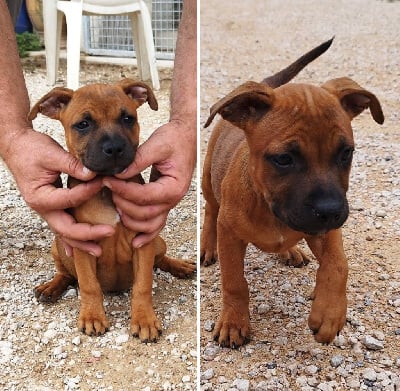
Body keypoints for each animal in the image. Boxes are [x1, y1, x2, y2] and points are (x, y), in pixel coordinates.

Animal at [28, 79, 195, 344]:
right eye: (83, 124)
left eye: (127, 118)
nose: (115, 148)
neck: (106, 188)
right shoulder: (82, 245)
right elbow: (88, 285)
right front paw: (92, 317)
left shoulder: (143, 241)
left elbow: (143, 284)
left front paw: (144, 320)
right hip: (58, 245)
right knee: (66, 274)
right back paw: (51, 287)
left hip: (158, 241)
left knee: (160, 260)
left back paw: (180, 266)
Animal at [202, 41, 382, 348]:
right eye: (284, 159)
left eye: (346, 153)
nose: (331, 211)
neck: (268, 207)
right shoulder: (229, 233)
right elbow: (234, 281)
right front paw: (233, 322)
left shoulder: (325, 231)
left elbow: (339, 264)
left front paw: (330, 313)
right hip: (207, 179)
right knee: (210, 210)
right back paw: (206, 245)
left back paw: (290, 251)